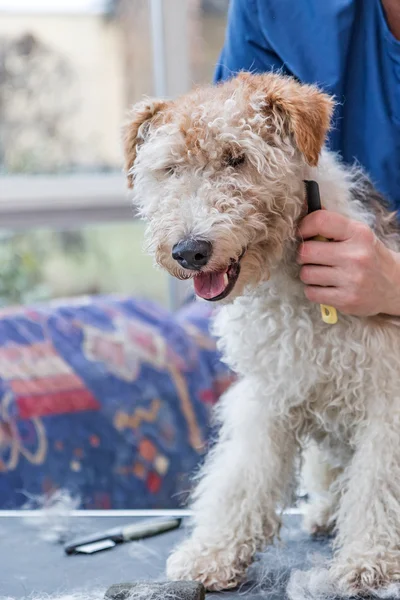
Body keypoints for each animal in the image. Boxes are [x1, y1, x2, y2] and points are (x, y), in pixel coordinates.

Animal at [123, 71, 400, 596]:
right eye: (170, 168)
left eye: (238, 157)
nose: (189, 251)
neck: (291, 283)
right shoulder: (269, 392)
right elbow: (243, 479)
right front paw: (211, 555)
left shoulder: (386, 399)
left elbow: (379, 484)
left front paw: (368, 561)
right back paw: (324, 514)